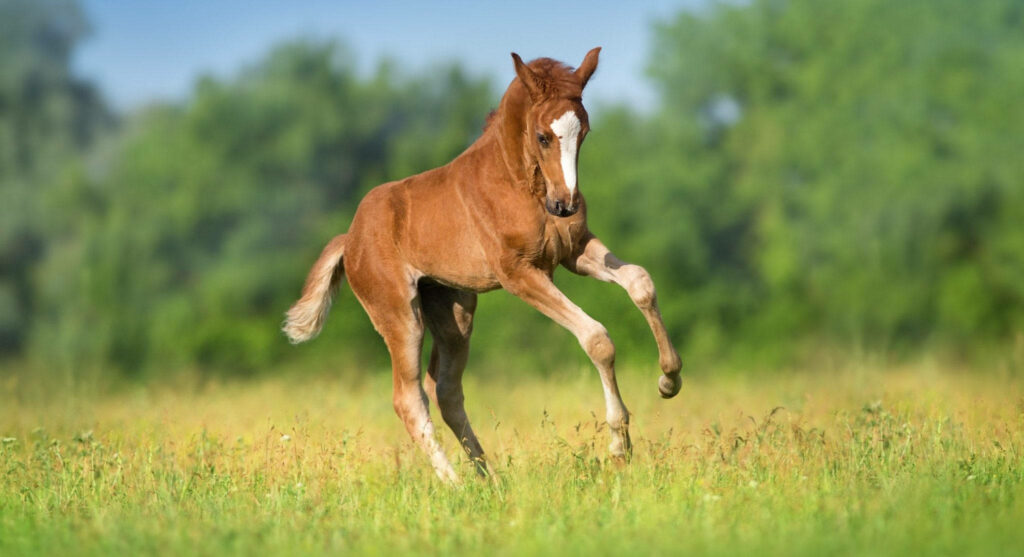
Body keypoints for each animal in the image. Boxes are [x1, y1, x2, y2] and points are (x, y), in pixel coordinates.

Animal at [283, 48, 682, 482]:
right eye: (543, 136)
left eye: (585, 132)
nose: (565, 205)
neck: (519, 184)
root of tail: (350, 237)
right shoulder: (519, 273)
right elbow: (597, 338)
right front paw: (619, 446)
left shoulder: (575, 252)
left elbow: (641, 282)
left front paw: (669, 380)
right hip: (399, 314)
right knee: (408, 398)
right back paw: (455, 484)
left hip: (454, 312)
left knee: (446, 391)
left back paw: (489, 480)